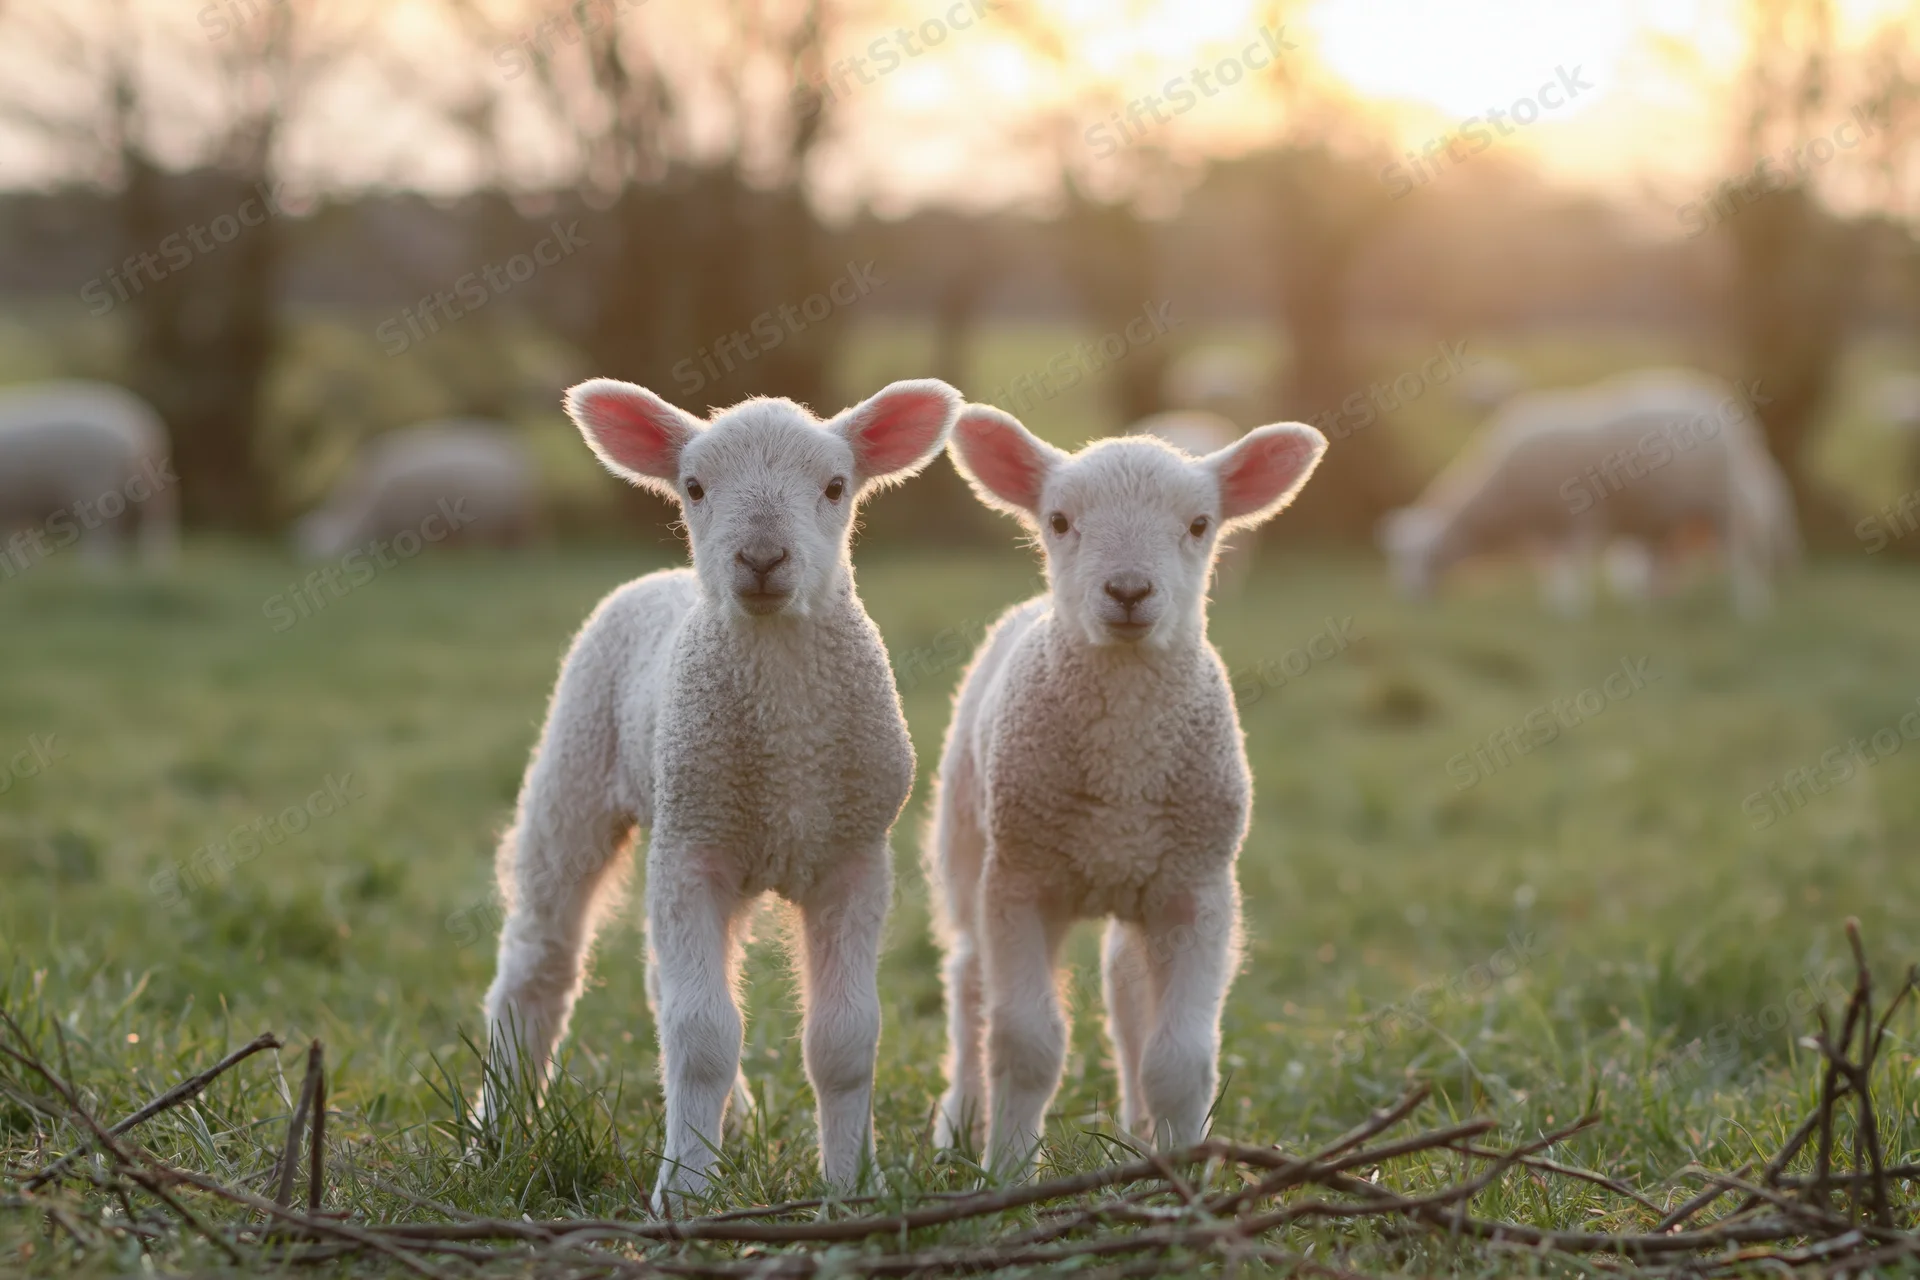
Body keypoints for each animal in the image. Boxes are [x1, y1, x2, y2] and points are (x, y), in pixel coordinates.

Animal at [480, 378, 962, 1208]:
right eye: (696, 487)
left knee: (657, 978)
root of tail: (665, 581)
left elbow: (844, 1039)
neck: (788, 743)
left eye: (835, 487)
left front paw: (851, 1187)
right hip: (579, 774)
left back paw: (729, 1123)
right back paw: (500, 1131)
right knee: (540, 961)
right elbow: (702, 1035)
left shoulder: (853, 857)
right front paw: (684, 1194)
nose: (762, 558)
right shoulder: (693, 849)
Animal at [1380, 368, 1798, 618]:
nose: (1410, 599)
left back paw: (1749, 610)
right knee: (1661, 565)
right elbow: (1554, 566)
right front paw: (1557, 603)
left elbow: (1573, 563)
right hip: (1668, 516)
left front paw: (1572, 612)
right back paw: (1652, 609)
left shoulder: (1576, 516)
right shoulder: (1545, 528)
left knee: (1743, 557)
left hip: (1722, 505)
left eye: (1418, 556)